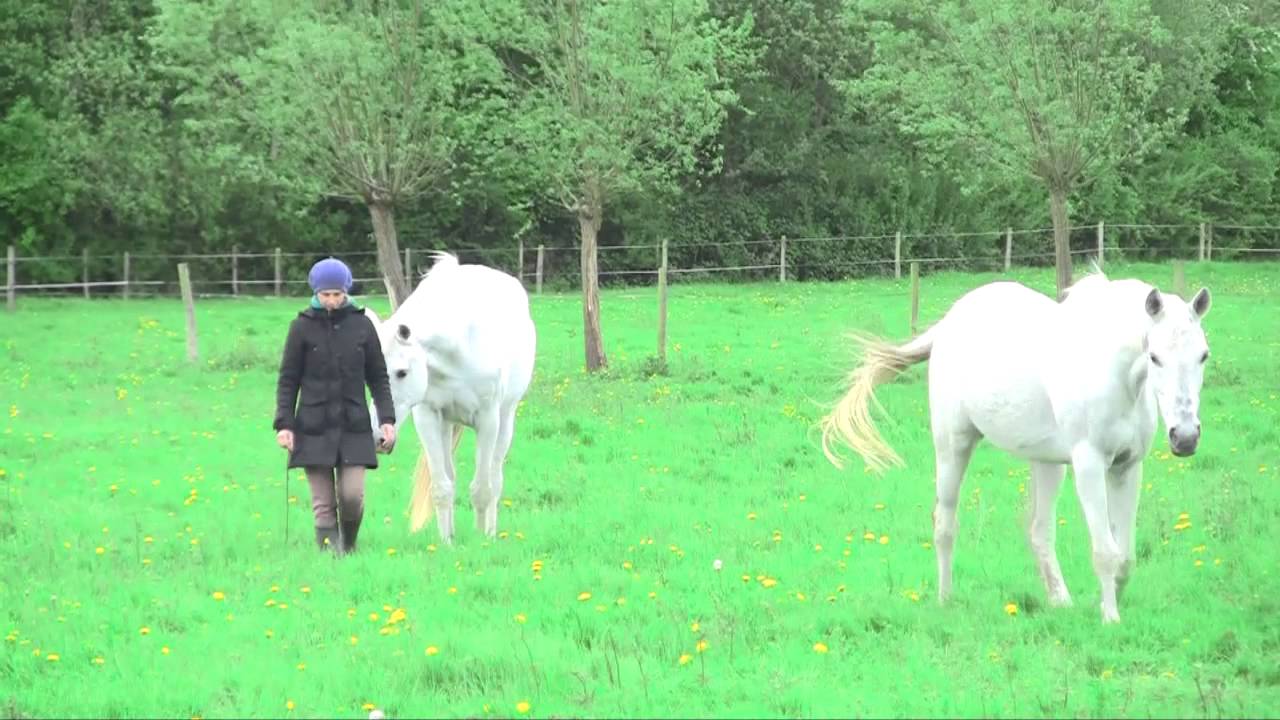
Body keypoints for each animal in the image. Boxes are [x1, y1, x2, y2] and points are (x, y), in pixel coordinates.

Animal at [366, 252, 536, 544]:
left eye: (401, 372)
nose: (379, 438)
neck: (459, 343)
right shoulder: (428, 418)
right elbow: (441, 487)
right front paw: (446, 543)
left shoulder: (488, 420)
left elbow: (482, 488)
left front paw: (482, 540)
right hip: (447, 426)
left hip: (505, 420)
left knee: (495, 478)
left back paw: (490, 531)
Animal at [820, 270, 1212, 623]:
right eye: (1155, 356)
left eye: (1203, 355)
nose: (1185, 437)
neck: (1111, 373)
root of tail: (949, 322)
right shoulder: (1089, 465)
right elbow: (1105, 551)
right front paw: (1111, 619)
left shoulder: (1127, 467)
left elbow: (1125, 556)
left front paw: (1105, 603)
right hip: (953, 447)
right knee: (945, 524)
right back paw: (946, 600)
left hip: (1047, 463)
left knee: (1039, 532)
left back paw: (1060, 601)